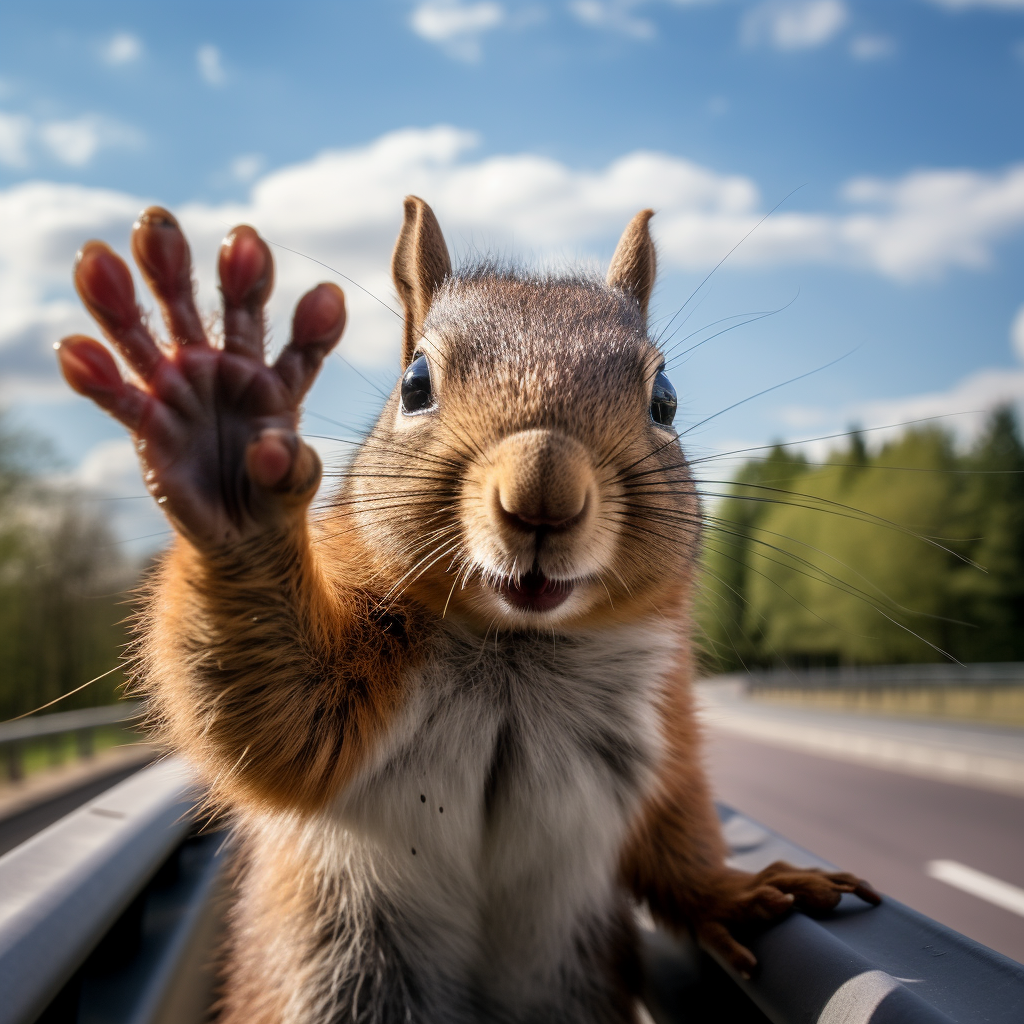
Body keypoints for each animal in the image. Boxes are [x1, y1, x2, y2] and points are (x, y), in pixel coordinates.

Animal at [56, 199, 876, 1024]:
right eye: (415, 383)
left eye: (666, 400)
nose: (545, 487)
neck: (516, 644)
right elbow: (280, 719)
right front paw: (220, 439)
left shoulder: (662, 726)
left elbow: (675, 829)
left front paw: (739, 892)